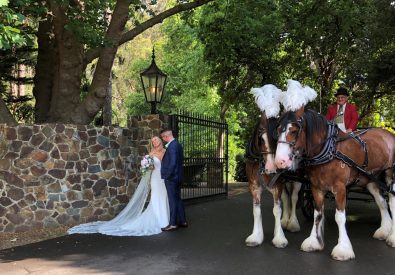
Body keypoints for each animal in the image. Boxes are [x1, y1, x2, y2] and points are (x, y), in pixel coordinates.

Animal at [246, 111, 302, 249]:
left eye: (275, 138)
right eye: (261, 138)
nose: (272, 166)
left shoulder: (277, 185)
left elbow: (276, 210)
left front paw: (279, 238)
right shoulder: (254, 187)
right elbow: (256, 210)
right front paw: (256, 236)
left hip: (296, 181)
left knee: (293, 198)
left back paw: (292, 223)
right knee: (286, 199)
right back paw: (285, 221)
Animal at [276, 109, 395, 262]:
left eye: (294, 130)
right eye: (278, 129)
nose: (280, 161)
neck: (329, 150)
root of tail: (388, 134)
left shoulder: (340, 189)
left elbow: (339, 217)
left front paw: (343, 249)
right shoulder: (316, 188)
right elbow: (317, 214)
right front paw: (314, 241)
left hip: (390, 176)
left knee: (392, 202)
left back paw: (392, 237)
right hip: (371, 179)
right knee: (382, 203)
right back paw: (384, 231)